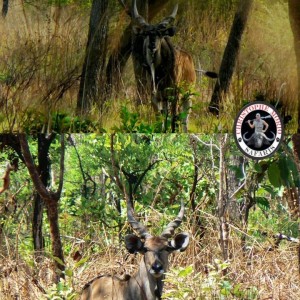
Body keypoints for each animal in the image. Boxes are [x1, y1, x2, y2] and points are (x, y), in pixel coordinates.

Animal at [130, 0, 217, 132]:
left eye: (160, 34)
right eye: (146, 33)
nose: (152, 45)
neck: (158, 73)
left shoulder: (174, 94)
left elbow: (174, 122)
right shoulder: (155, 97)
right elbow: (160, 122)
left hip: (188, 97)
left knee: (184, 121)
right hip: (168, 100)